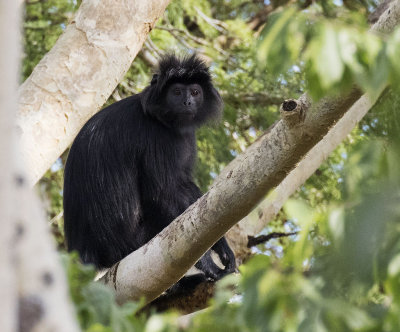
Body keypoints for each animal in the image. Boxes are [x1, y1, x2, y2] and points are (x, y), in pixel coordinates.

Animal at [64, 53, 236, 282]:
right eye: (177, 92)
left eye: (195, 92)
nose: (188, 101)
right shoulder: (157, 137)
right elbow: (162, 195)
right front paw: (209, 264)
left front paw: (223, 248)